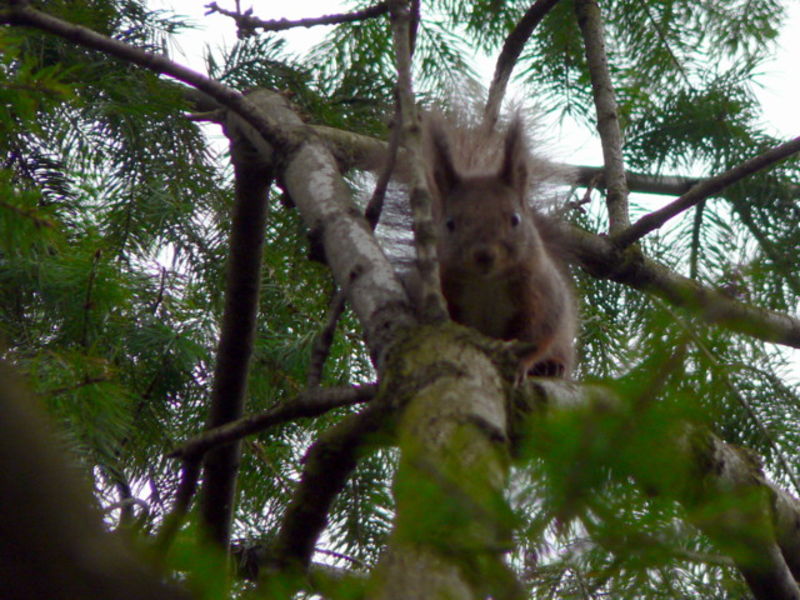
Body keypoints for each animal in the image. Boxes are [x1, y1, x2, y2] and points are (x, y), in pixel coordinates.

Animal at [422, 112, 577, 379]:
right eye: (449, 224)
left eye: (515, 219)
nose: (484, 255)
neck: (487, 283)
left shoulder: (543, 295)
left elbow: (539, 336)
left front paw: (522, 364)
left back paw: (553, 365)